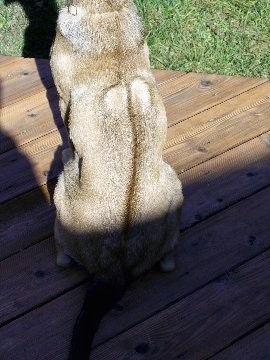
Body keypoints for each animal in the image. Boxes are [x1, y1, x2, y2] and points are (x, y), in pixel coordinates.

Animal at [50, 0, 184, 358]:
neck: (106, 10)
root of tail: (116, 271)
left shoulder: (62, 97)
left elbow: (67, 127)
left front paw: (68, 147)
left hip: (61, 197)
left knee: (63, 257)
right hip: (173, 182)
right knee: (168, 261)